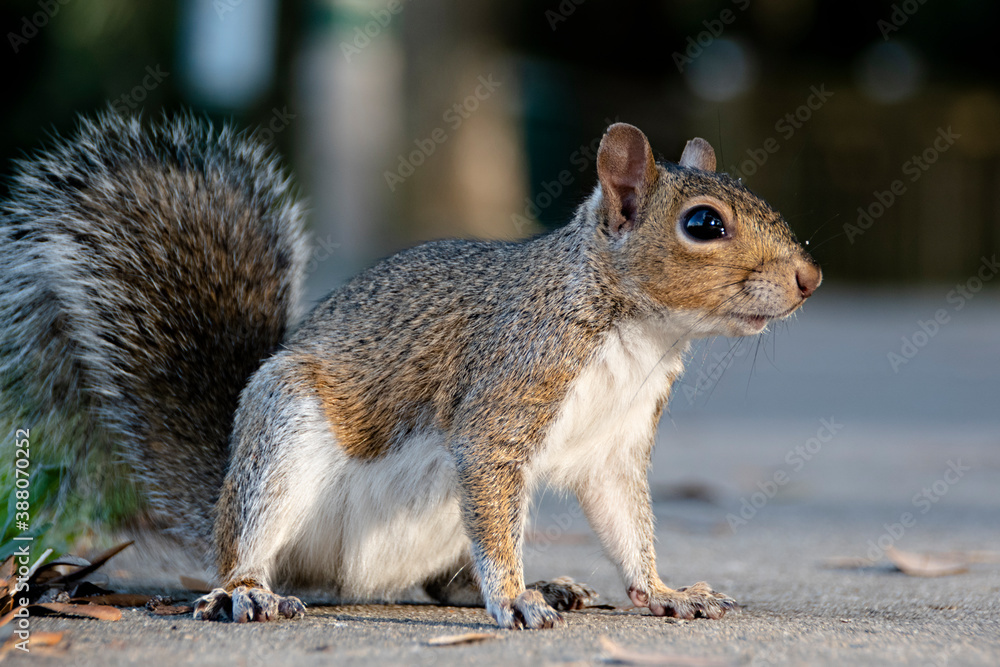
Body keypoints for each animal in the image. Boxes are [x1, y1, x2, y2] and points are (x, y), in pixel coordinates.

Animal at [0, 112, 820, 628]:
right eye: (704, 224)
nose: (810, 278)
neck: (639, 333)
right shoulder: (505, 392)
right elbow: (491, 478)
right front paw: (513, 601)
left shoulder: (614, 449)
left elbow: (626, 521)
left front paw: (664, 590)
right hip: (282, 435)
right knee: (246, 541)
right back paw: (245, 591)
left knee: (441, 580)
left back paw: (541, 582)